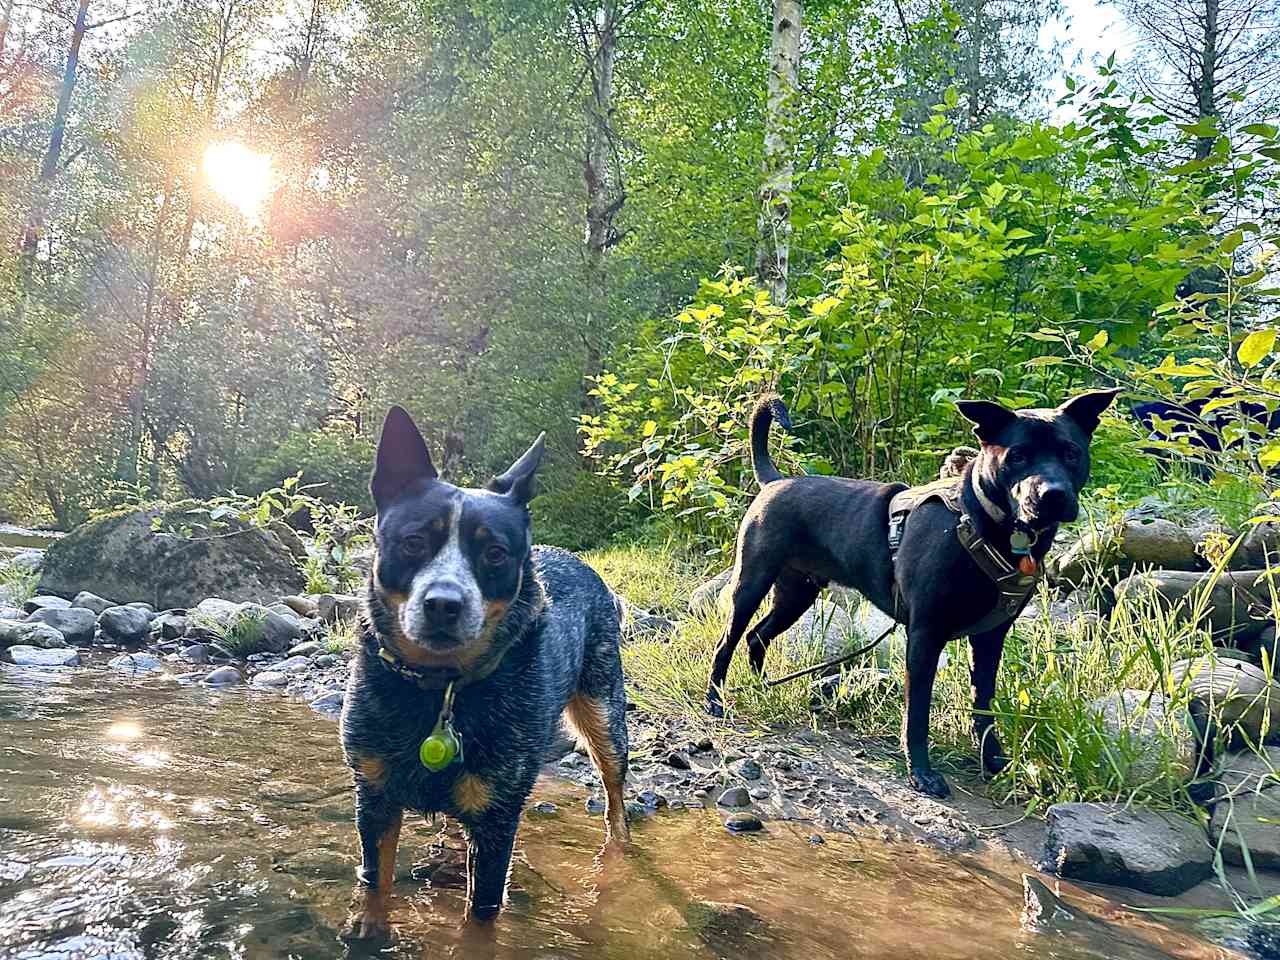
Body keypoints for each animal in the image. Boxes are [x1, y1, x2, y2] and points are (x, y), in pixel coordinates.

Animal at [340, 407, 629, 942]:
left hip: (605, 708)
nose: (444, 604)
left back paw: (617, 847)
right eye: (414, 542)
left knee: (615, 787)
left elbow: (482, 914)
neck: (439, 689)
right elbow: (374, 880)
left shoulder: (498, 816)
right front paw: (369, 929)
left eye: (494, 553)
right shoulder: (374, 793)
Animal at [706, 389, 1116, 798]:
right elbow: (917, 713)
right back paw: (715, 702)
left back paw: (762, 686)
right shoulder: (924, 635)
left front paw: (993, 761)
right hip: (751, 583)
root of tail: (775, 481)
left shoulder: (990, 637)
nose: (1052, 495)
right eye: (1016, 455)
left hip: (795, 594)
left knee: (758, 636)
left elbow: (983, 704)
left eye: (1071, 452)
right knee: (727, 643)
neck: (978, 523)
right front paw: (921, 772)